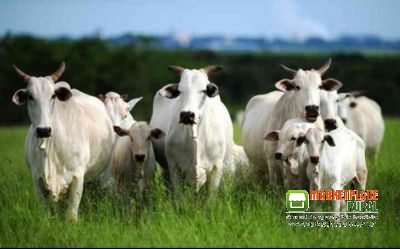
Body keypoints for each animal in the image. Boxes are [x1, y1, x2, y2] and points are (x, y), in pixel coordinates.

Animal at [11, 63, 114, 221]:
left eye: (53, 95)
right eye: (30, 96)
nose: (44, 130)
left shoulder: (78, 177)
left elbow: (71, 215)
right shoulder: (36, 179)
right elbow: (45, 212)